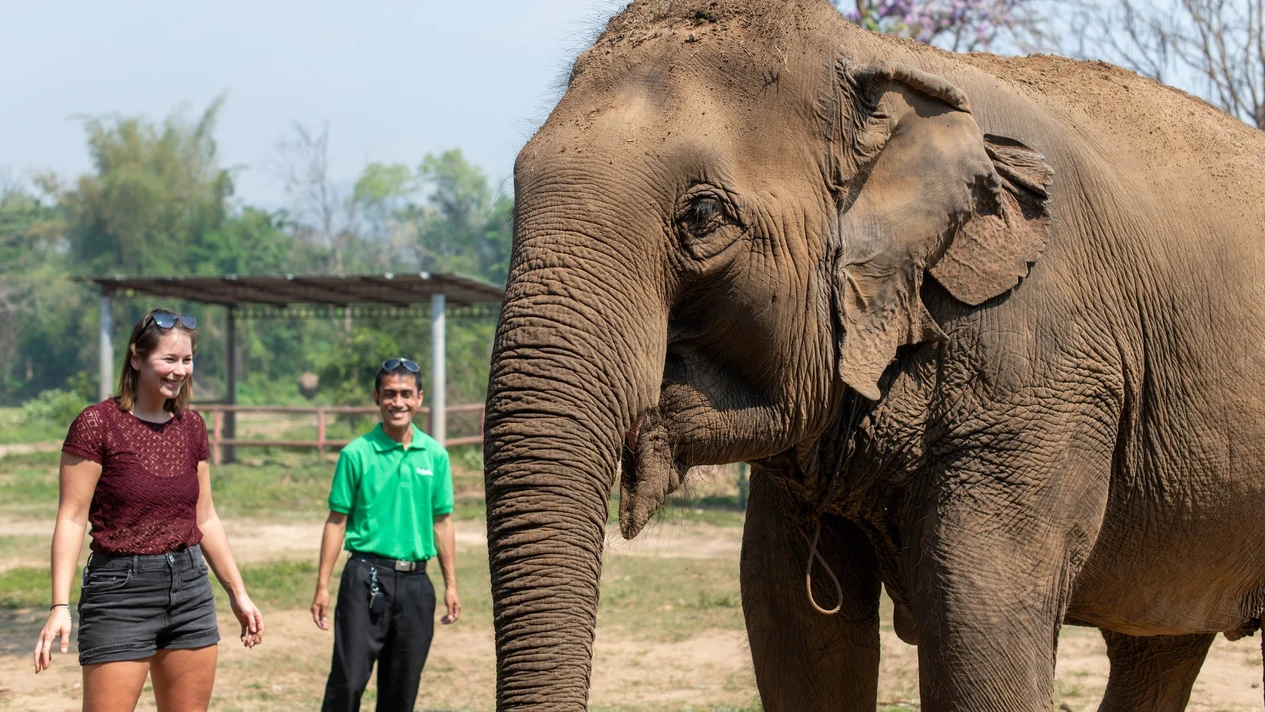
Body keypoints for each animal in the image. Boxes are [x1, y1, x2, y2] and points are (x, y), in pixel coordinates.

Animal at [481, 0, 1265, 709]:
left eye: (701, 216)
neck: (874, 56)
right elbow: (792, 626)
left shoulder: (1043, 372)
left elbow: (978, 621)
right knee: (1157, 646)